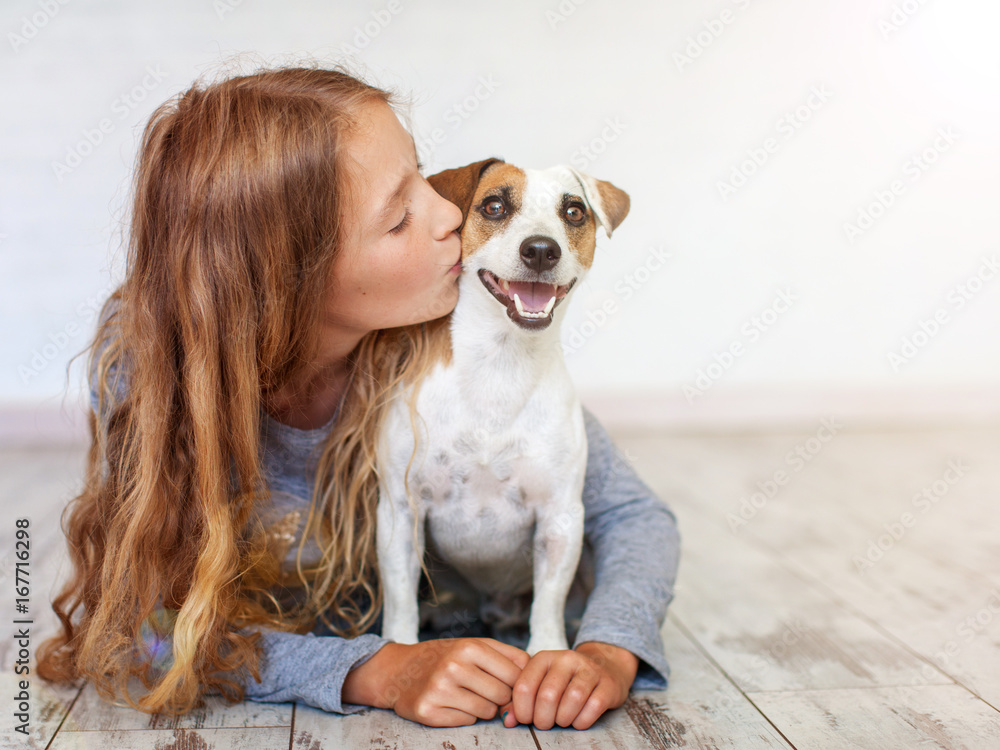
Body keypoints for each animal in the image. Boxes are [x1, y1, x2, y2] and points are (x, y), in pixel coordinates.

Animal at [378, 160, 628, 656]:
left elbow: (548, 604)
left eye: (574, 211)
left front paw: (548, 654)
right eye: (494, 206)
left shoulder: (560, 517)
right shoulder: (400, 509)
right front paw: (402, 649)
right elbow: (399, 603)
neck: (501, 363)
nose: (541, 250)